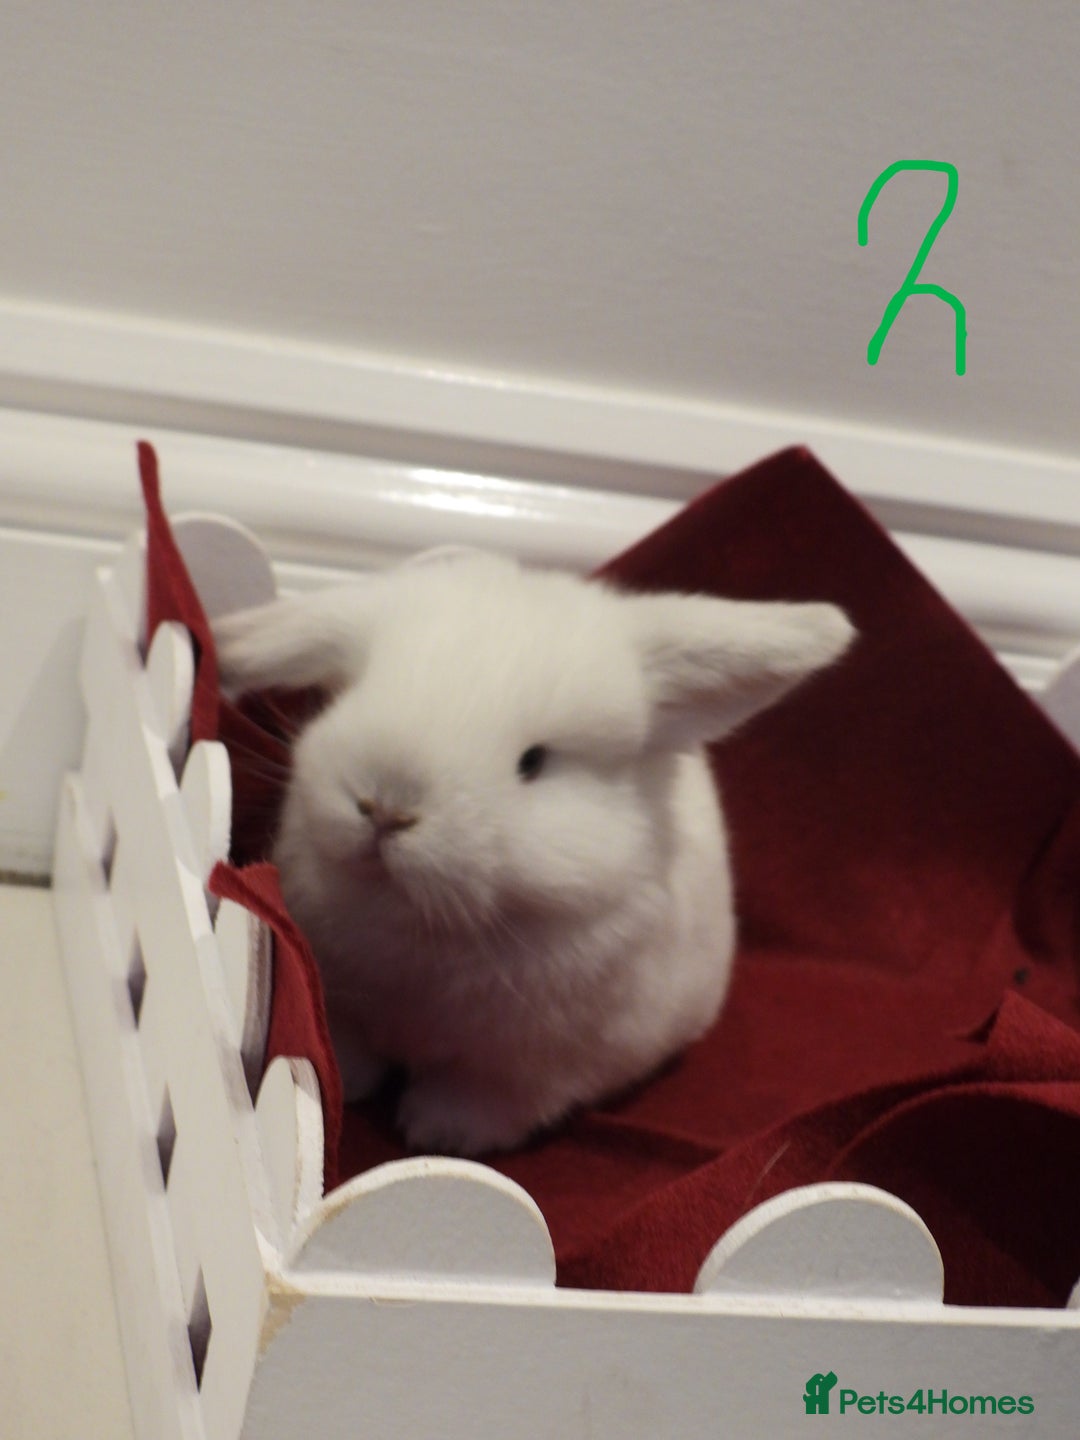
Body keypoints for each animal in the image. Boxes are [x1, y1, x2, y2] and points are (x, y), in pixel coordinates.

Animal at [214, 549, 854, 1156]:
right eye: (349, 692)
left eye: (534, 761)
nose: (385, 807)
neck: (422, 931)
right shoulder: (345, 1005)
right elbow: (341, 1047)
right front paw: (347, 1082)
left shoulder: (531, 1069)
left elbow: (488, 1099)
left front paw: (439, 1133)